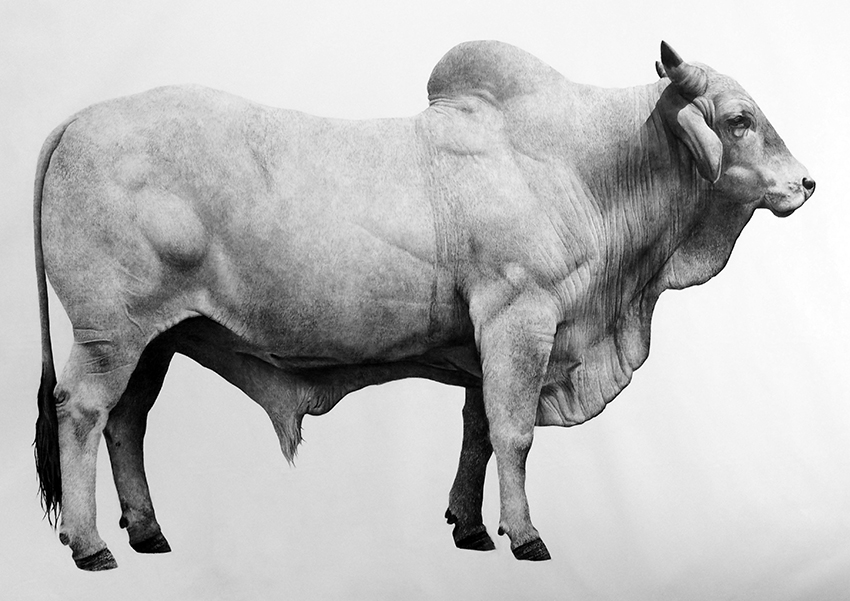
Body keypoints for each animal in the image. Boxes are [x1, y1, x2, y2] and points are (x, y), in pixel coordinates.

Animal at [34, 40, 814, 570]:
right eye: (739, 119)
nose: (805, 182)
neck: (586, 168)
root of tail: (79, 119)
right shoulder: (518, 319)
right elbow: (514, 433)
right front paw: (525, 535)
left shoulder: (481, 343)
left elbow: (478, 430)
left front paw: (469, 526)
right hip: (111, 334)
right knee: (83, 412)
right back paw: (90, 543)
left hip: (158, 339)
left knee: (128, 421)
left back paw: (147, 531)